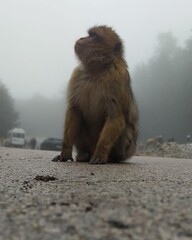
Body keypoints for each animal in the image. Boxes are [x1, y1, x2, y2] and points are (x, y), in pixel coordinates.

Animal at [51, 25, 137, 164]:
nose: (82, 38)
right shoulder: (76, 75)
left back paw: (109, 158)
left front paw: (100, 154)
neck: (96, 70)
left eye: (94, 36)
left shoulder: (118, 77)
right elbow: (74, 110)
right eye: (89, 34)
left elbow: (116, 117)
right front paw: (65, 152)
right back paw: (83, 156)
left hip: (124, 151)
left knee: (125, 128)